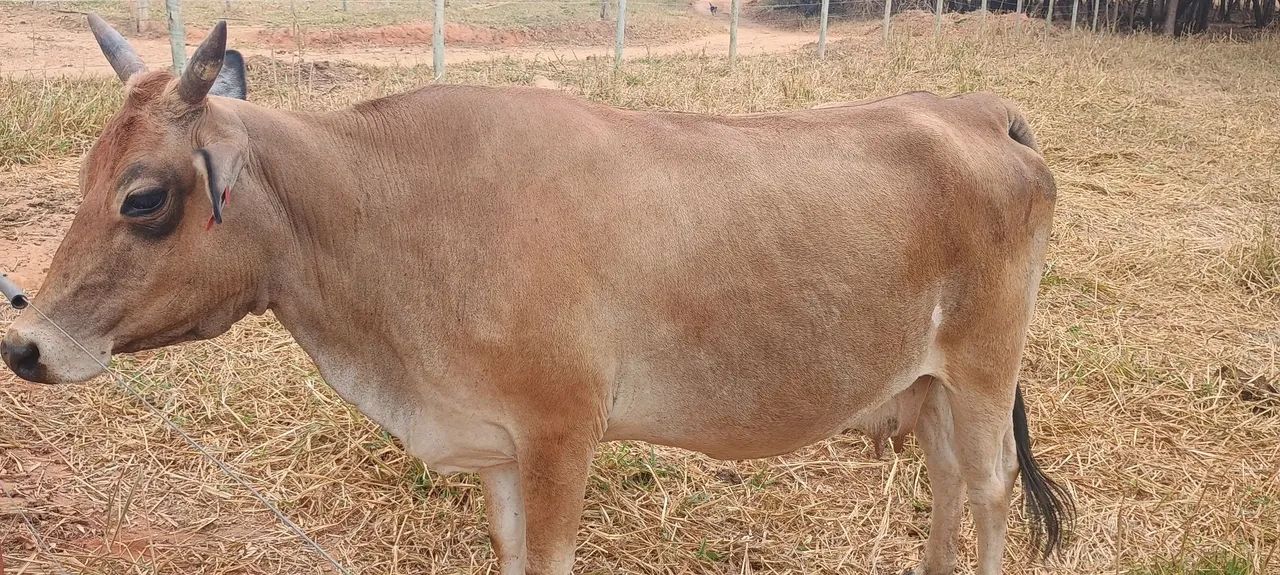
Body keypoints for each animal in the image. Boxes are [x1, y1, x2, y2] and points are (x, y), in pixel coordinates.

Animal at [0, 16, 1072, 575]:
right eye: (88, 175)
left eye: (144, 196)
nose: (26, 343)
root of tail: (977, 108)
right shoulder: (502, 449)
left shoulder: (562, 436)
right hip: (928, 386)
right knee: (945, 485)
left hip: (983, 373)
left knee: (987, 492)